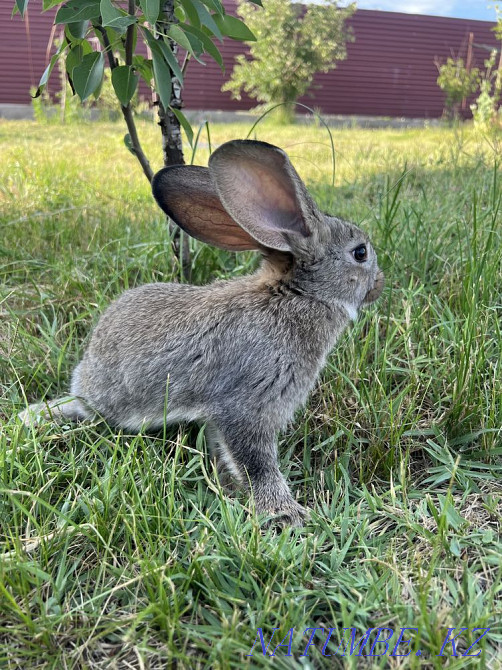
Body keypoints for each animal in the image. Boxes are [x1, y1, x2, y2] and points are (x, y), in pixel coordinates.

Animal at [19, 139, 384, 526]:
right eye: (360, 253)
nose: (379, 283)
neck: (297, 294)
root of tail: (83, 388)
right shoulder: (247, 403)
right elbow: (256, 463)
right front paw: (287, 513)